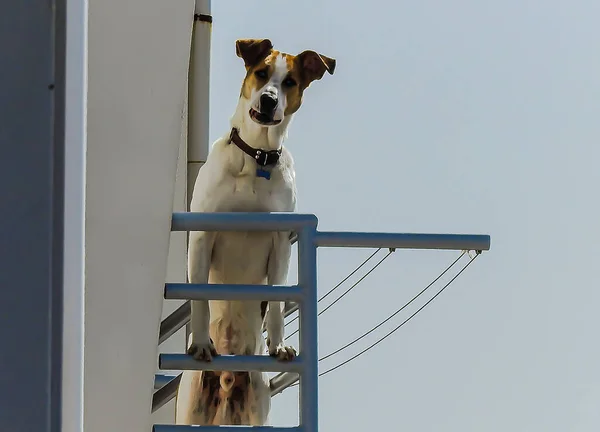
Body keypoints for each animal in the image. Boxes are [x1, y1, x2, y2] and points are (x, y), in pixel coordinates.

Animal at [173, 38, 336, 426]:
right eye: (261, 73)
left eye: (290, 81)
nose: (268, 100)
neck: (257, 156)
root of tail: (228, 377)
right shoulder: (201, 235)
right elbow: (199, 296)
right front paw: (201, 342)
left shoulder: (281, 242)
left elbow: (276, 299)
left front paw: (278, 345)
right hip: (189, 412)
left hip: (254, 407)